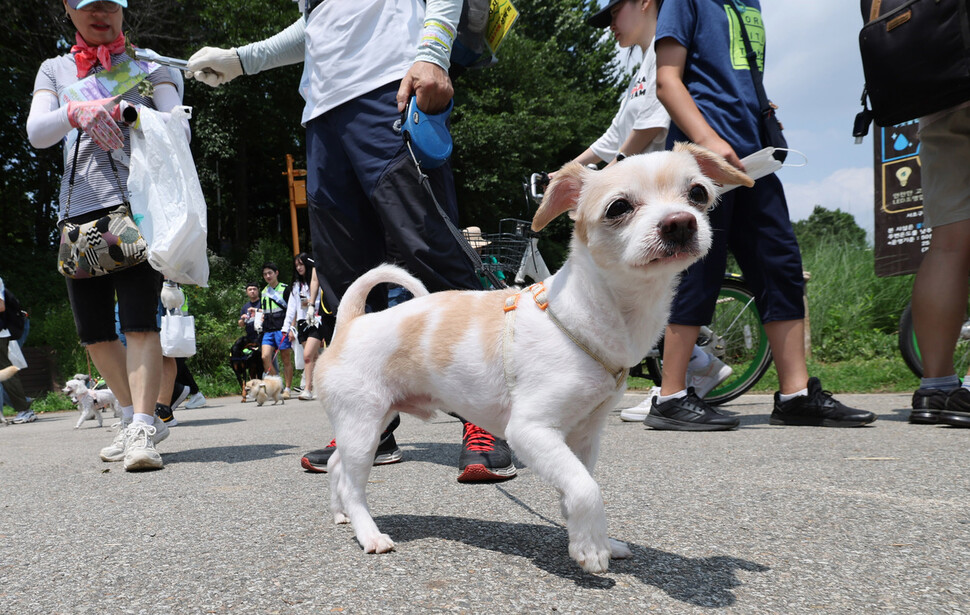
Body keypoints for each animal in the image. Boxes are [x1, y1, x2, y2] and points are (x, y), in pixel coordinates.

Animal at [314, 143, 752, 572]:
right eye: (618, 207)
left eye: (698, 193)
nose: (680, 222)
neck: (586, 315)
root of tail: (351, 322)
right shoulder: (531, 431)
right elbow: (586, 488)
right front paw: (592, 548)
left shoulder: (583, 436)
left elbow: (576, 485)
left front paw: (591, 536)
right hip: (363, 424)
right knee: (352, 482)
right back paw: (368, 533)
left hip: (371, 423)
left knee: (336, 466)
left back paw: (341, 514)